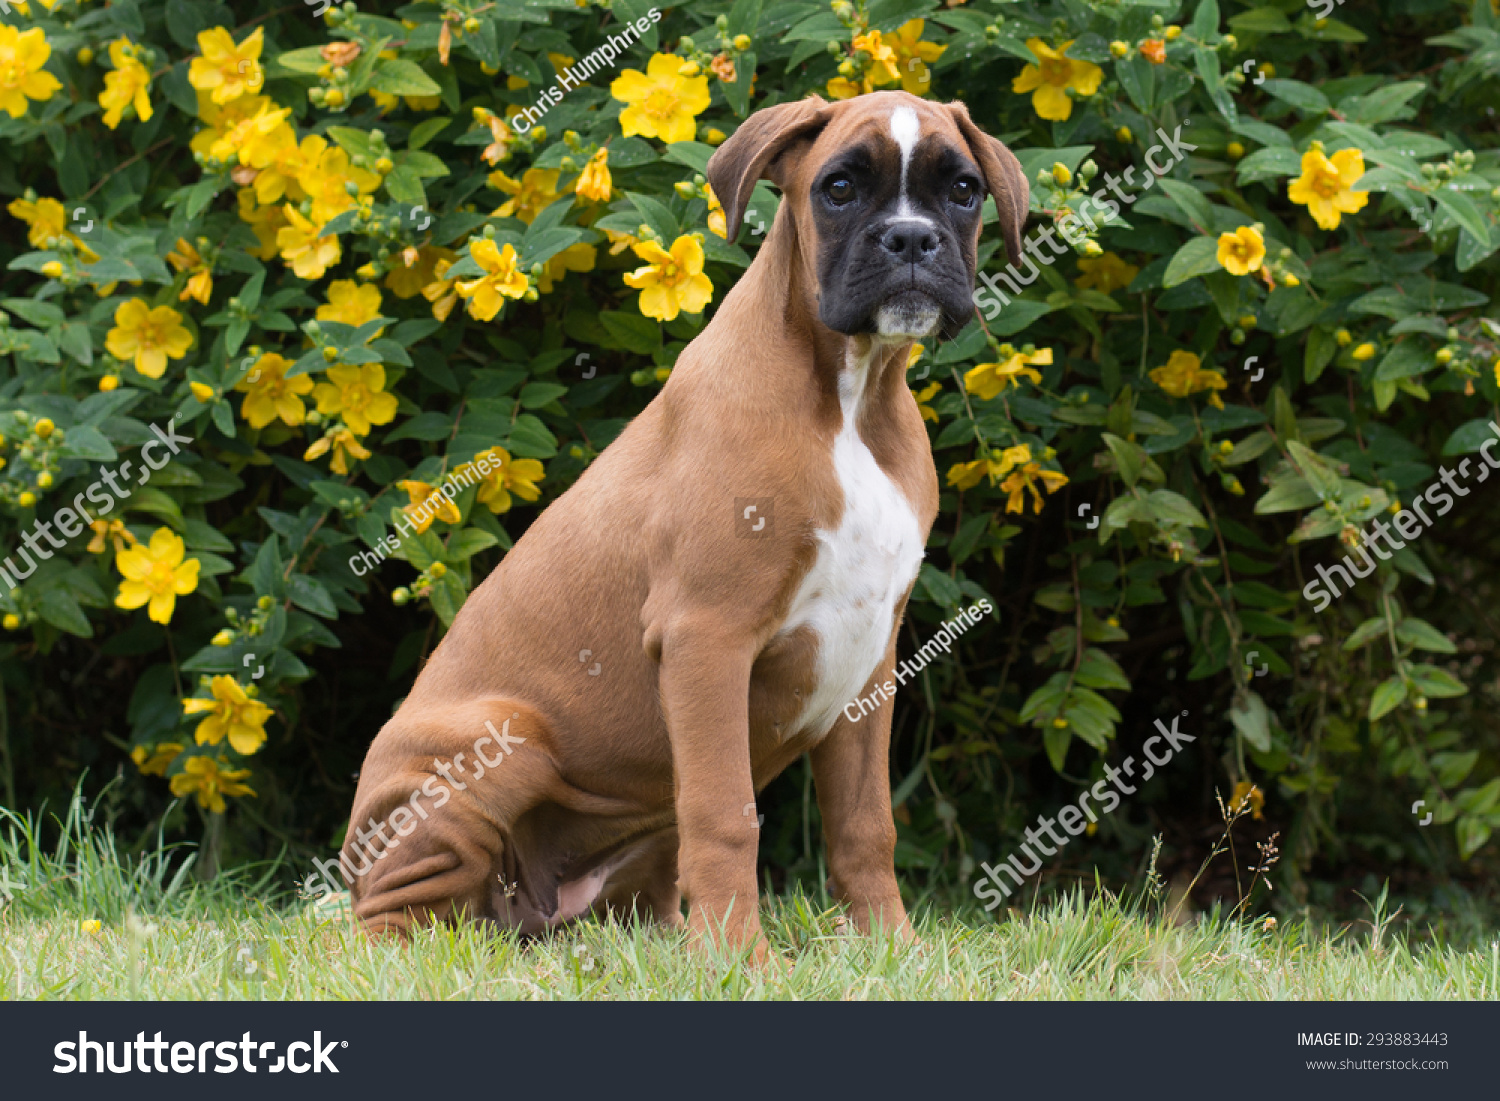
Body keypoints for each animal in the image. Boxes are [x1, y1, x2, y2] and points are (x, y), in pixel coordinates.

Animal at [342, 88, 1026, 960]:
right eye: (838, 188)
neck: (851, 396)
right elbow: (726, 811)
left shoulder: (869, 662)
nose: (911, 237)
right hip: (500, 738)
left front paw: (892, 949)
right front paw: (741, 961)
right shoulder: (708, 635)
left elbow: (865, 824)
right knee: (395, 914)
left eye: (963, 190)